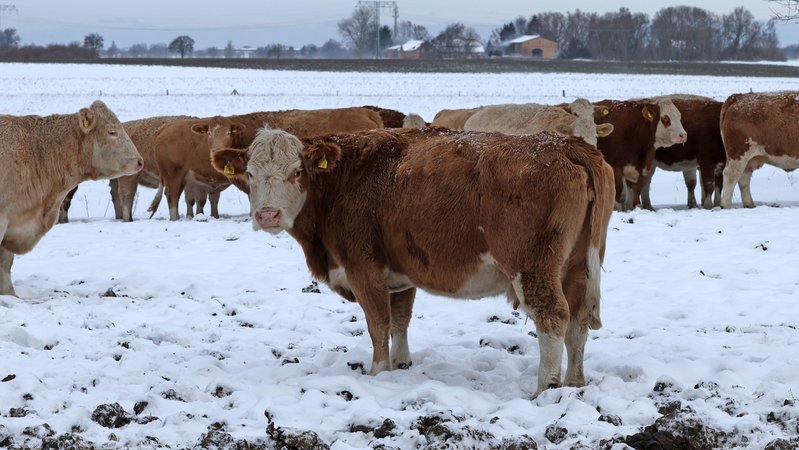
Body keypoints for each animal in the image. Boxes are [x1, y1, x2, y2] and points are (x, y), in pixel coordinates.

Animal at [211, 126, 615, 395]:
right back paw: (575, 383)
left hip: (532, 267)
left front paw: (378, 371)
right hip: (577, 265)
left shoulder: (364, 269)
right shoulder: (400, 274)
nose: (267, 215)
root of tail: (563, 143)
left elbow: (378, 323)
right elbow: (399, 320)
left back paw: (545, 389)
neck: (343, 178)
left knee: (553, 317)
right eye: (250, 173)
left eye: (297, 172)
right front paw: (402, 364)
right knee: (578, 321)